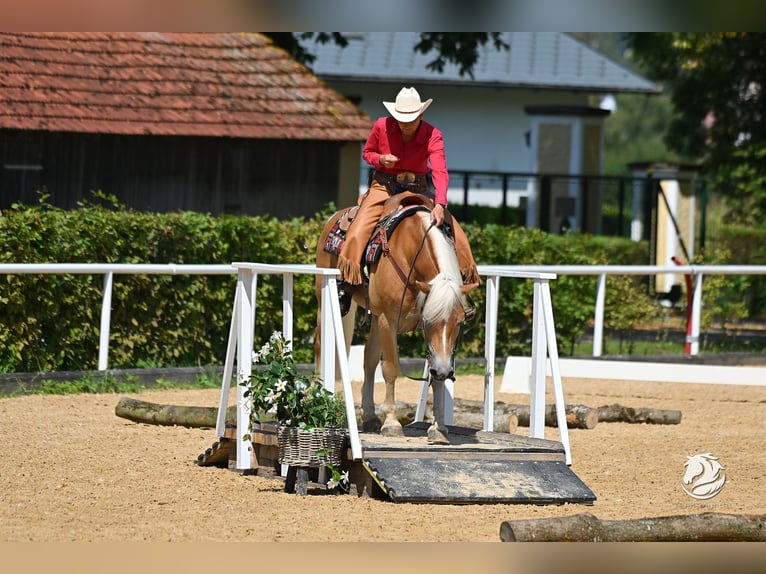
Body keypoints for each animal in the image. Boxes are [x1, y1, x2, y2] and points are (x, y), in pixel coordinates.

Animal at [316, 192, 476, 446]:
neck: (410, 252)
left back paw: (370, 417)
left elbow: (435, 375)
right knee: (321, 346)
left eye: (459, 323)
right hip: (328, 300)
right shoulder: (388, 320)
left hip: (374, 317)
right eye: (429, 320)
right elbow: (391, 368)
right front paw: (391, 423)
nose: (443, 370)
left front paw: (439, 428)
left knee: (369, 359)